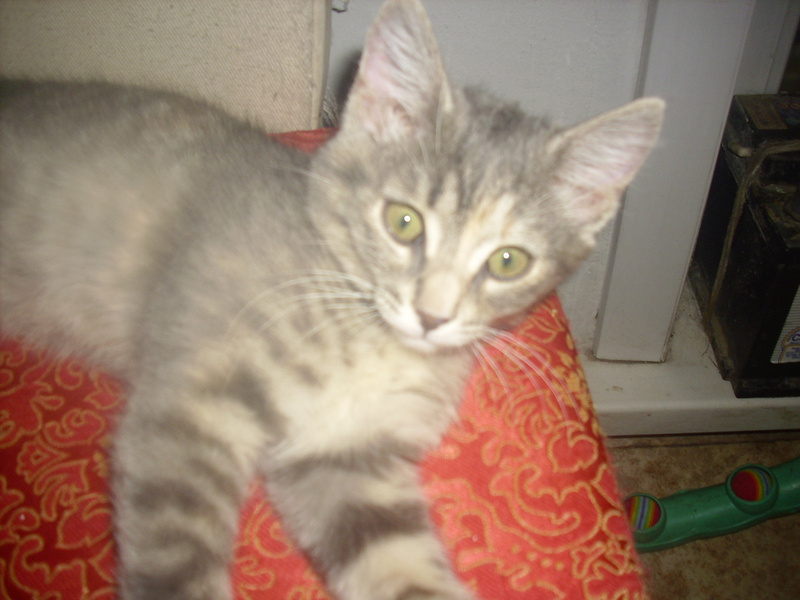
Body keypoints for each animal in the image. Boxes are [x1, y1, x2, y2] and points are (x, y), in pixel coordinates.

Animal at [0, 0, 663, 599]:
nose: (432, 316)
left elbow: (395, 562)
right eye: (403, 221)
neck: (371, 340)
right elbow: (177, 569)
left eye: (507, 261)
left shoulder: (344, 457)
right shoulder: (190, 409)